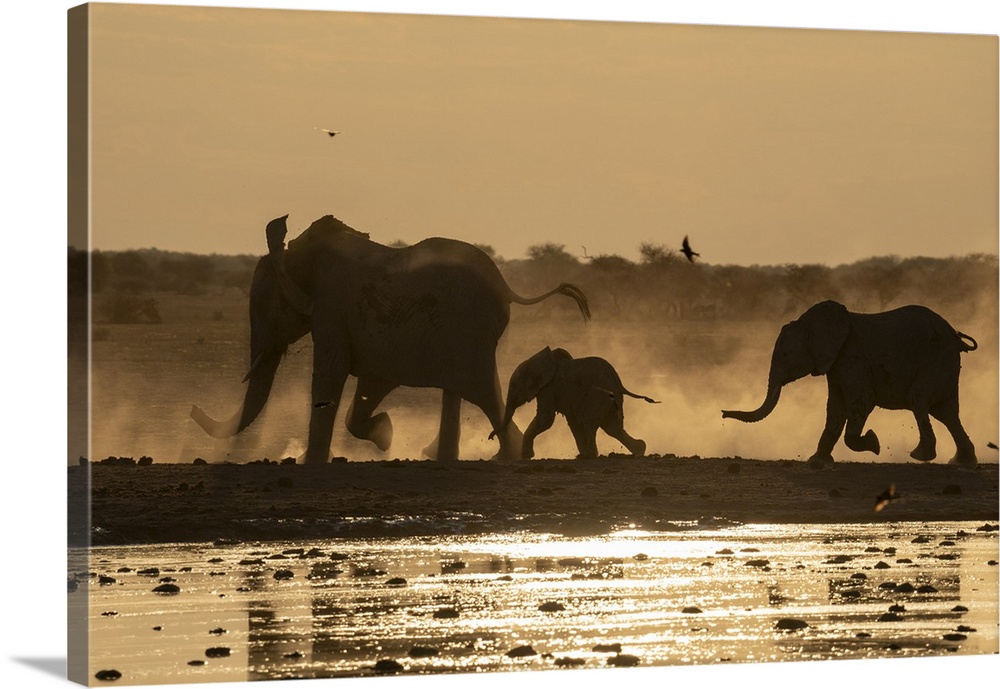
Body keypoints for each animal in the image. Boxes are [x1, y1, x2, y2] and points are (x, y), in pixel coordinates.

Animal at [191, 214, 591, 463]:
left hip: (470, 332)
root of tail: (506, 286)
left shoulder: (332, 307)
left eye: (264, 307)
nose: (193, 410)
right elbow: (372, 383)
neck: (298, 253)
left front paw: (313, 461)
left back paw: (505, 455)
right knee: (461, 390)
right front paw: (384, 435)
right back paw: (443, 456)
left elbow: (331, 374)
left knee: (483, 393)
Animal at [492, 346, 659, 459]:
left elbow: (545, 419)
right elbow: (571, 422)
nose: (490, 437)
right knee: (612, 427)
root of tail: (620, 385)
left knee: (588, 420)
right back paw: (640, 449)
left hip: (599, 396)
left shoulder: (548, 388)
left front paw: (525, 456)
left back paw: (589, 456)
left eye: (514, 386)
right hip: (610, 401)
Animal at [721, 300, 979, 467]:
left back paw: (919, 455)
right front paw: (817, 461)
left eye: (785, 355)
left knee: (920, 401)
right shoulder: (835, 364)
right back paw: (961, 462)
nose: (722, 413)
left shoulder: (851, 356)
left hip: (935, 360)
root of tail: (954, 335)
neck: (809, 322)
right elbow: (835, 408)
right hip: (944, 365)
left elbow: (861, 401)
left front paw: (874, 443)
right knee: (946, 413)